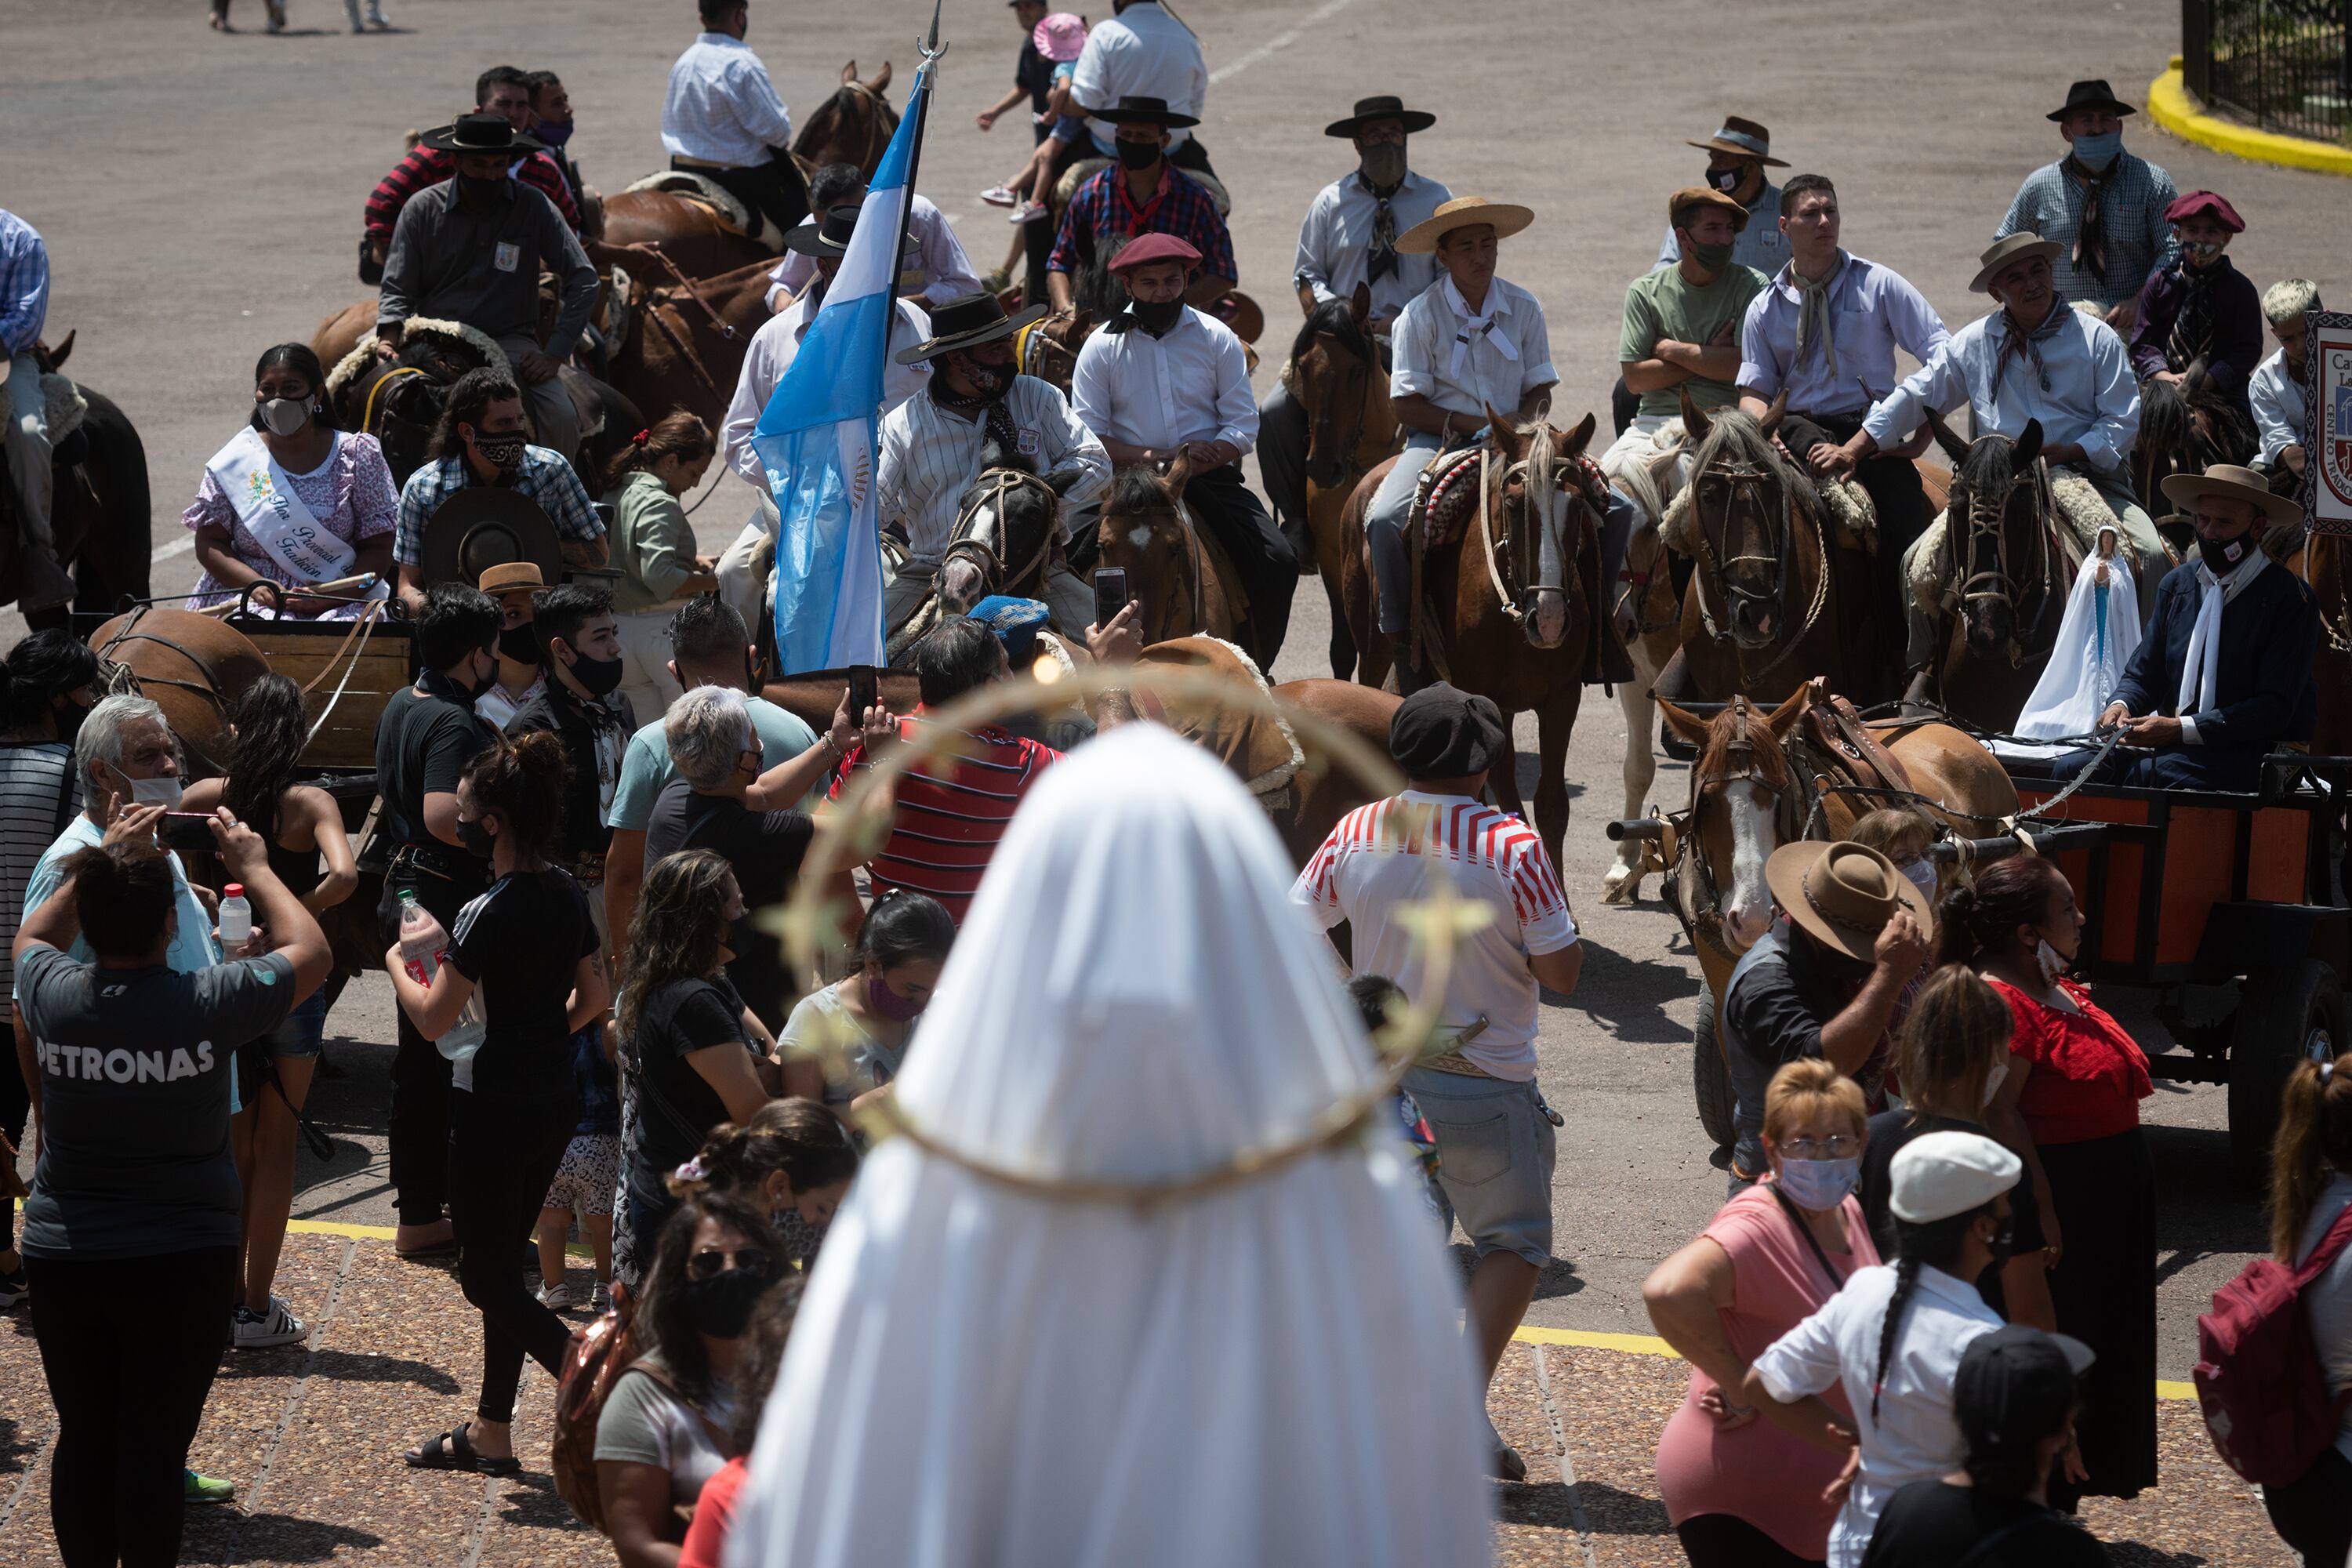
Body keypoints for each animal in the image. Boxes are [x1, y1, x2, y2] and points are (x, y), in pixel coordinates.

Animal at [1345, 411, 1618, 869]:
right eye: (1512, 504)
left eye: (1578, 504)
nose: (1549, 619)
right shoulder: (1486, 697)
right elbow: (1503, 796)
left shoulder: (1562, 700)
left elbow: (1551, 806)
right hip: (1372, 644)